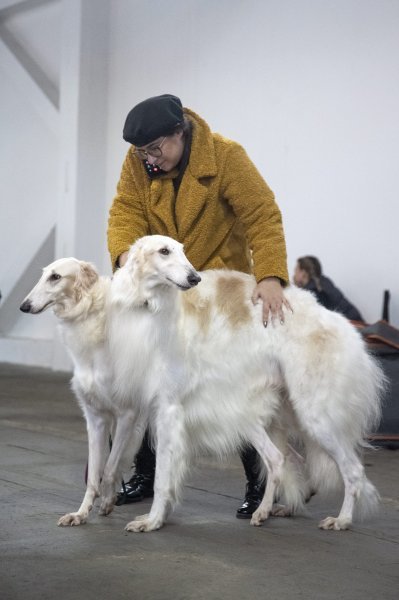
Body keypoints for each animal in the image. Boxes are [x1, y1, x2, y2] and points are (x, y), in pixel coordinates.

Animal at [21, 237, 384, 532]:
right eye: (46, 274)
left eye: (55, 277)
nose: (24, 305)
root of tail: (342, 324)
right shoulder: (97, 416)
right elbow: (98, 474)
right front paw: (84, 512)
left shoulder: (149, 411)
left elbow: (144, 473)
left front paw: (151, 521)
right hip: (271, 414)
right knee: (282, 459)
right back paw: (272, 510)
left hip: (314, 414)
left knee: (351, 471)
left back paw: (341, 519)